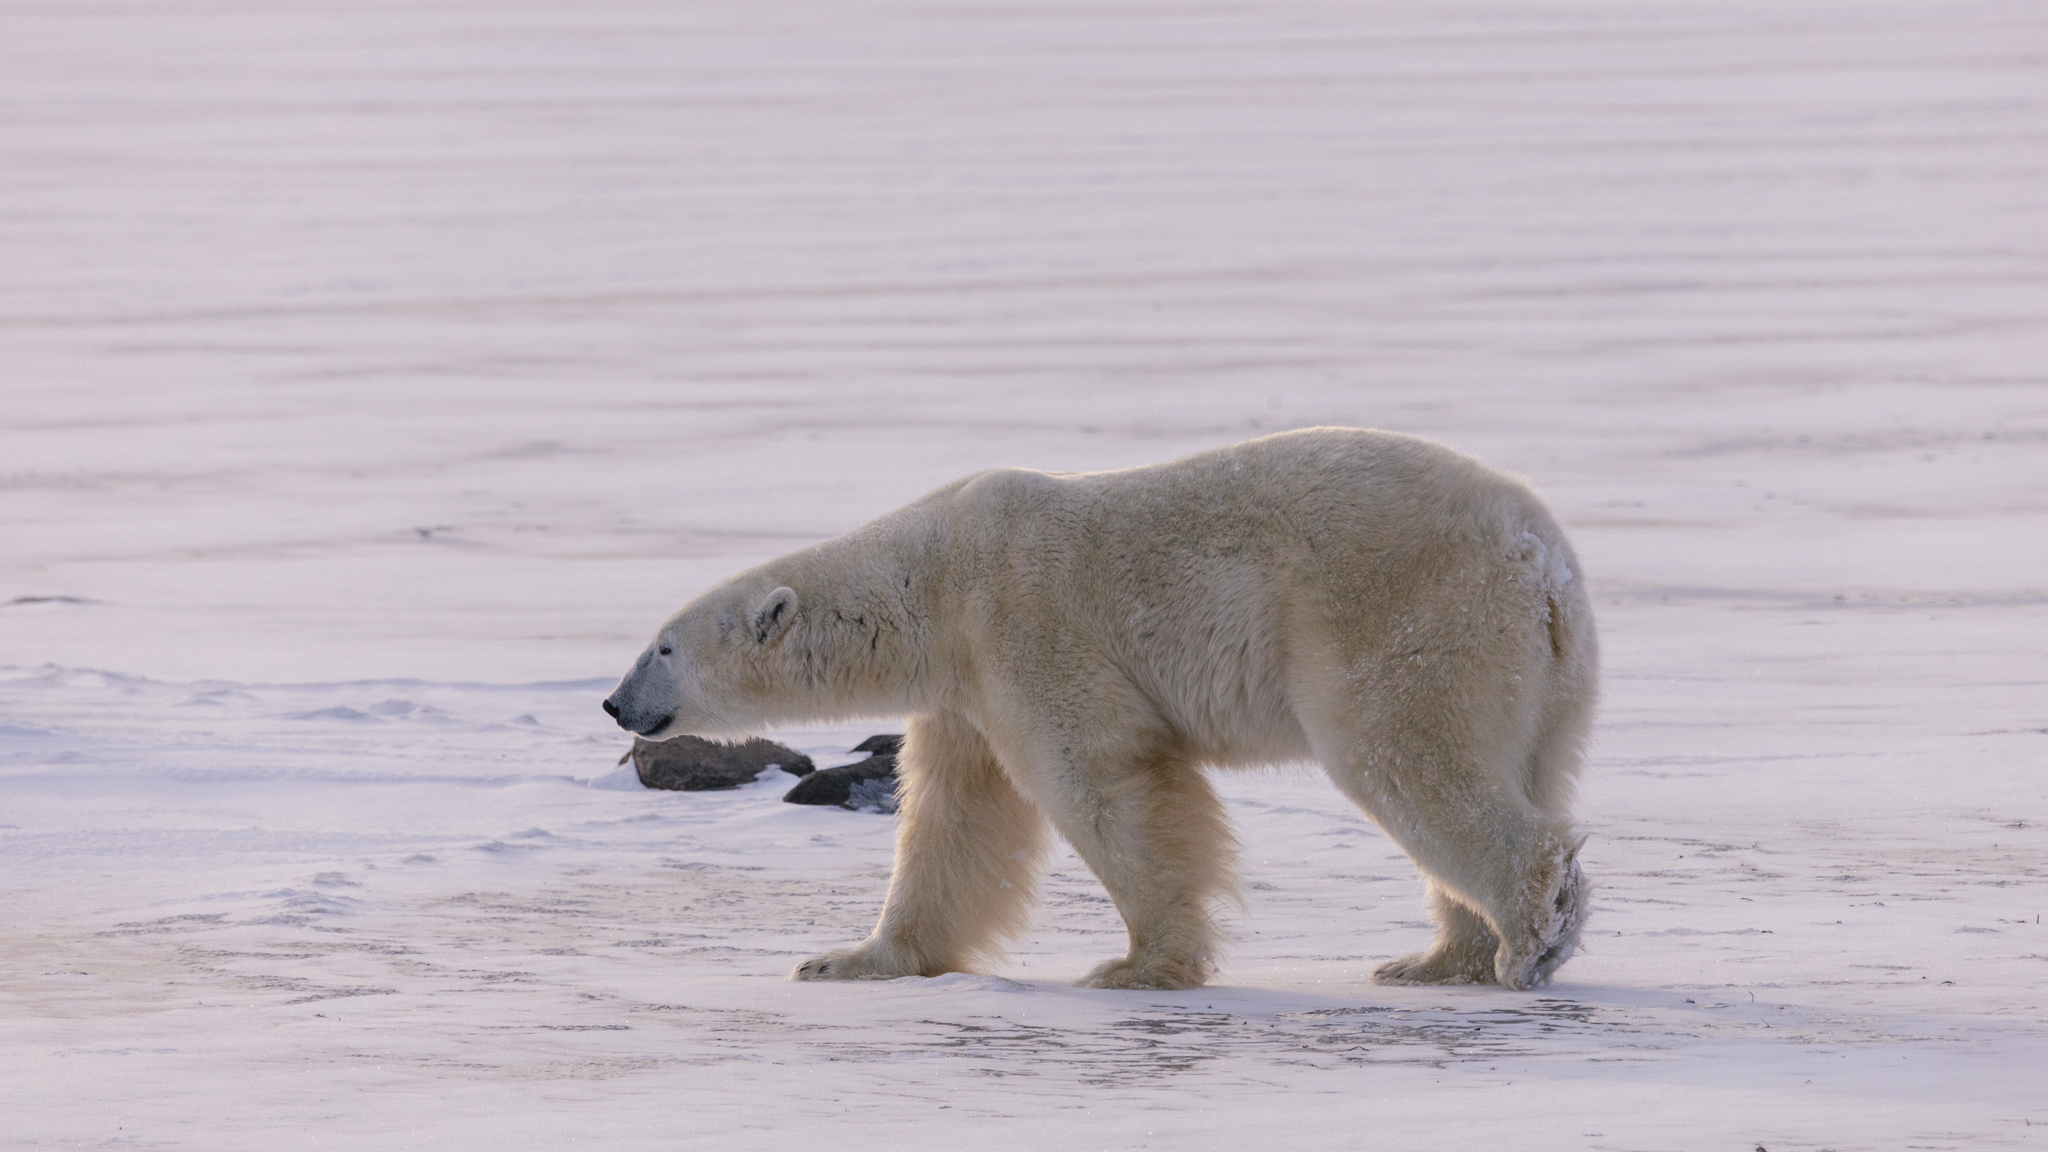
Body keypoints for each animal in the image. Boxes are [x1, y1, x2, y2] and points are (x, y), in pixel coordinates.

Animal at [602, 427, 1598, 990]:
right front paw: (847, 960)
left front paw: (1136, 965)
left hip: (1403, 614)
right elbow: (953, 821)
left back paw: (1526, 937)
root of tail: (1540, 556)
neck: (935, 578)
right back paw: (1435, 962)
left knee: (1400, 754)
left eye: (662, 647)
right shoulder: (963, 688)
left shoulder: (1023, 620)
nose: (614, 703)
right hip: (1541, 673)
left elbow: (1102, 782)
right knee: (1513, 767)